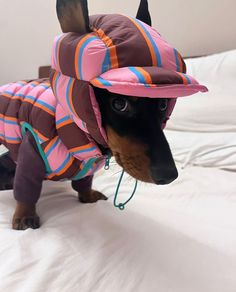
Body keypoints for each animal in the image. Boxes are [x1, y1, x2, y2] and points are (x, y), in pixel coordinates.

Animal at [0, 0, 206, 230]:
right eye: (119, 104)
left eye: (163, 104)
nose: (169, 175)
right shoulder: (31, 150)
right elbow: (27, 186)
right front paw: (25, 213)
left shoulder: (86, 170)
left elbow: (83, 182)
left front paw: (87, 195)